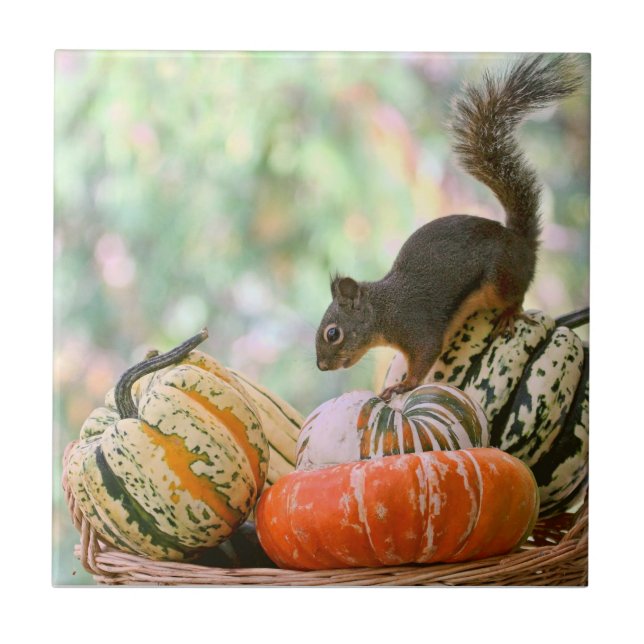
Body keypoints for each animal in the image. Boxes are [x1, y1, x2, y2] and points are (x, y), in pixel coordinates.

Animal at [315, 54, 584, 401]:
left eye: (333, 333)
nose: (321, 366)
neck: (385, 309)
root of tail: (519, 241)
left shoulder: (417, 328)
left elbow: (426, 355)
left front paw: (404, 385)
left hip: (501, 277)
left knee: (516, 296)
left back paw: (509, 313)